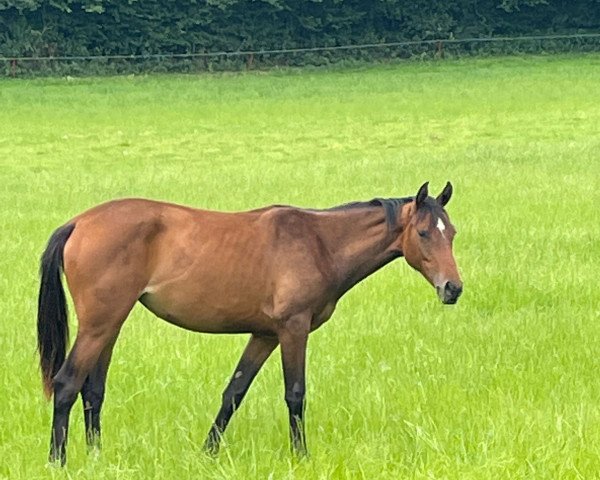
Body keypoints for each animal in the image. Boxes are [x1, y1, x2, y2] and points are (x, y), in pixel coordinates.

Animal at [36, 181, 464, 464]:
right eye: (423, 233)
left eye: (453, 233)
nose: (453, 288)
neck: (320, 242)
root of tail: (79, 223)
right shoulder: (293, 329)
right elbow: (295, 394)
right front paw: (301, 456)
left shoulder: (264, 335)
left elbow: (233, 392)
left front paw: (207, 453)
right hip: (99, 325)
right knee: (67, 384)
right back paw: (58, 462)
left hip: (110, 325)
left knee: (93, 391)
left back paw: (96, 457)